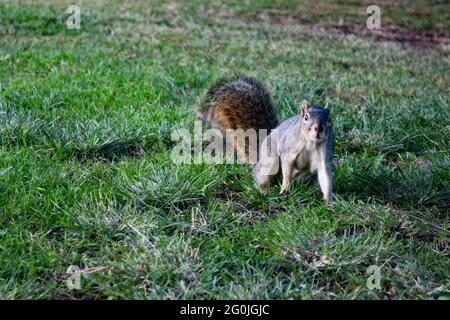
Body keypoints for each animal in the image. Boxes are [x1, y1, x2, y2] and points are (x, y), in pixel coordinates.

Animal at [197, 75, 334, 202]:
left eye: (329, 120)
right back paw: (264, 191)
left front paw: (329, 201)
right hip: (269, 161)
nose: (318, 128)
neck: (311, 143)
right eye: (306, 117)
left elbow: (325, 178)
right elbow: (287, 167)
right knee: (260, 177)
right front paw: (285, 187)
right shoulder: (288, 150)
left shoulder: (324, 157)